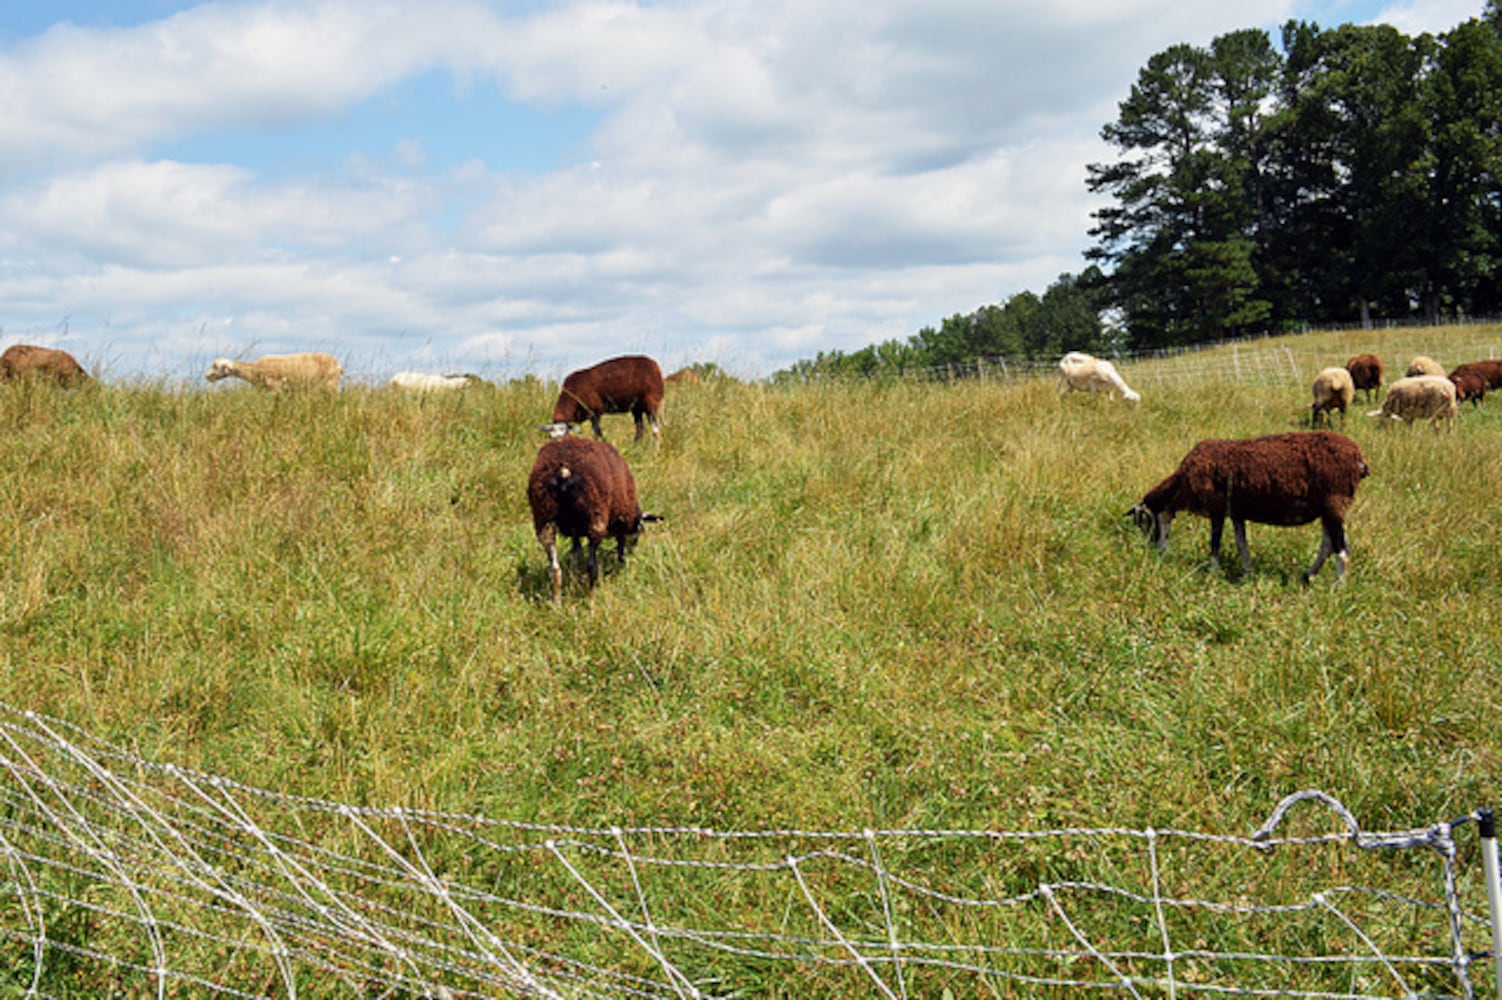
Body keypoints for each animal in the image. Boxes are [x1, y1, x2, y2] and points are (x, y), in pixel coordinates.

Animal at [205, 349, 343, 390]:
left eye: (215, 366)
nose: (206, 375)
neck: (254, 369)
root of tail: (338, 364)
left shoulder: (276, 389)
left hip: (331, 385)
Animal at [534, 435, 663, 600]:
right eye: (639, 530)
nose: (634, 549)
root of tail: (563, 473)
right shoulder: (620, 521)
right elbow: (620, 546)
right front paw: (621, 563)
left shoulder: (575, 531)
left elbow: (575, 553)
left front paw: (573, 578)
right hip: (595, 518)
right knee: (591, 567)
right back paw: (591, 599)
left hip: (544, 517)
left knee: (555, 569)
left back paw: (557, 602)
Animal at [1129, 432, 1375, 579]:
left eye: (1144, 523)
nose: (1159, 553)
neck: (1181, 485)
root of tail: (1358, 458)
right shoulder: (1236, 512)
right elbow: (1241, 543)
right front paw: (1247, 573)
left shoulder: (1217, 508)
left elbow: (1215, 541)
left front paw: (1214, 572)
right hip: (1329, 509)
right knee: (1329, 545)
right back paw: (1309, 576)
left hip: (1335, 503)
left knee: (1341, 550)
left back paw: (1337, 589)